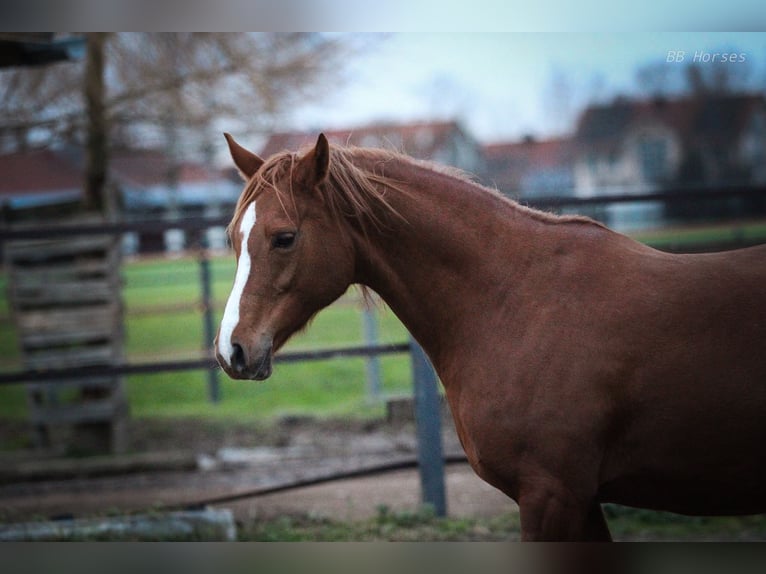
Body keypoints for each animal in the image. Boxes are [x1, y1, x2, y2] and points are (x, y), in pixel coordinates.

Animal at [214, 133, 766, 544]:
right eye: (234, 238)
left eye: (284, 238)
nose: (230, 350)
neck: (514, 300)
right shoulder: (580, 500)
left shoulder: (551, 495)